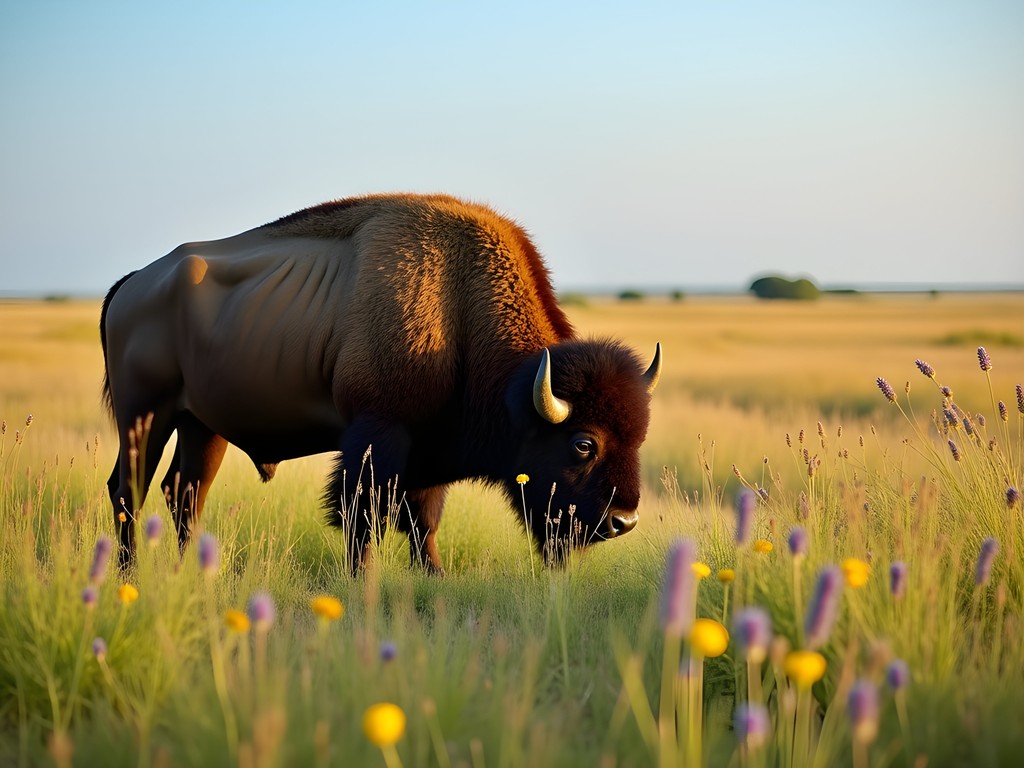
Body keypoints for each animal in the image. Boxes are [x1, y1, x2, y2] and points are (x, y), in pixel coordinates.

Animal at [100, 193, 661, 574]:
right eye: (583, 443)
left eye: (639, 437)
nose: (624, 521)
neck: (457, 303)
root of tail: (133, 283)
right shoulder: (378, 434)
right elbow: (362, 518)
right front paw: (362, 582)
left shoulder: (427, 452)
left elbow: (423, 523)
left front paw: (434, 577)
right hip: (144, 416)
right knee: (129, 490)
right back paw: (131, 576)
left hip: (201, 424)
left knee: (184, 493)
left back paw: (190, 574)